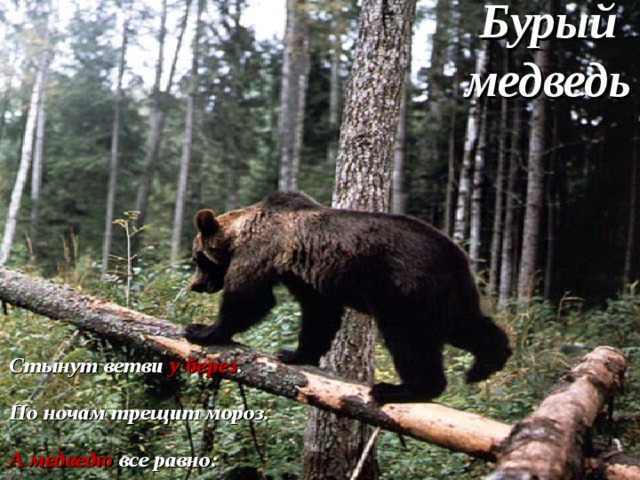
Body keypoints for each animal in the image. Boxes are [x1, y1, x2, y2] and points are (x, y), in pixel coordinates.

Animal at [184, 191, 512, 404]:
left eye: (198, 257)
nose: (195, 285)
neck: (240, 233)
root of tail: (455, 254)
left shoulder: (262, 251)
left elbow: (249, 298)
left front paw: (202, 330)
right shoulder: (305, 275)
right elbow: (319, 314)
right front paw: (294, 353)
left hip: (402, 288)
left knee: (407, 338)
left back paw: (403, 389)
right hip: (447, 294)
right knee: (465, 324)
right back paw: (487, 363)